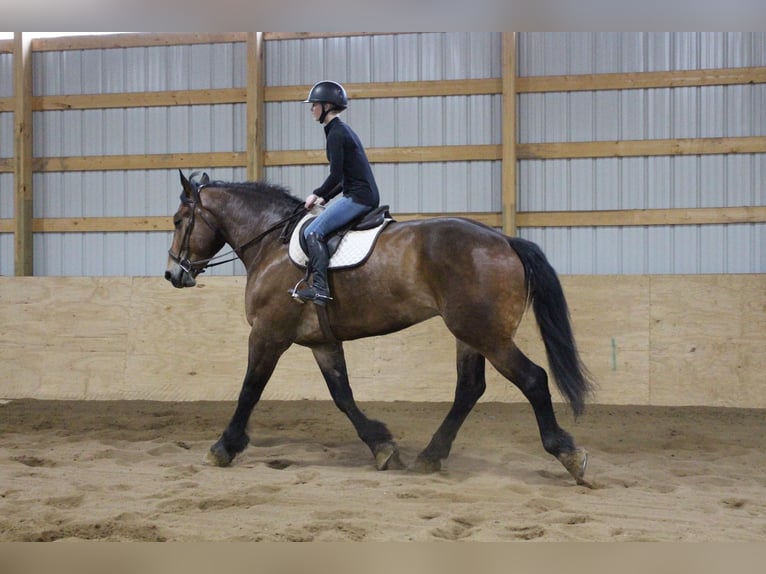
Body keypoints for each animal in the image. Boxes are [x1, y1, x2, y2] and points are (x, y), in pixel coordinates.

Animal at [165, 171, 596, 486]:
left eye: (179, 221)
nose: (173, 274)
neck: (272, 243)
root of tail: (505, 240)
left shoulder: (268, 335)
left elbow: (249, 390)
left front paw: (224, 447)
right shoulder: (322, 342)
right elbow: (343, 396)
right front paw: (383, 447)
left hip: (488, 335)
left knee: (533, 379)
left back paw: (569, 455)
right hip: (470, 334)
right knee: (470, 388)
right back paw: (430, 456)